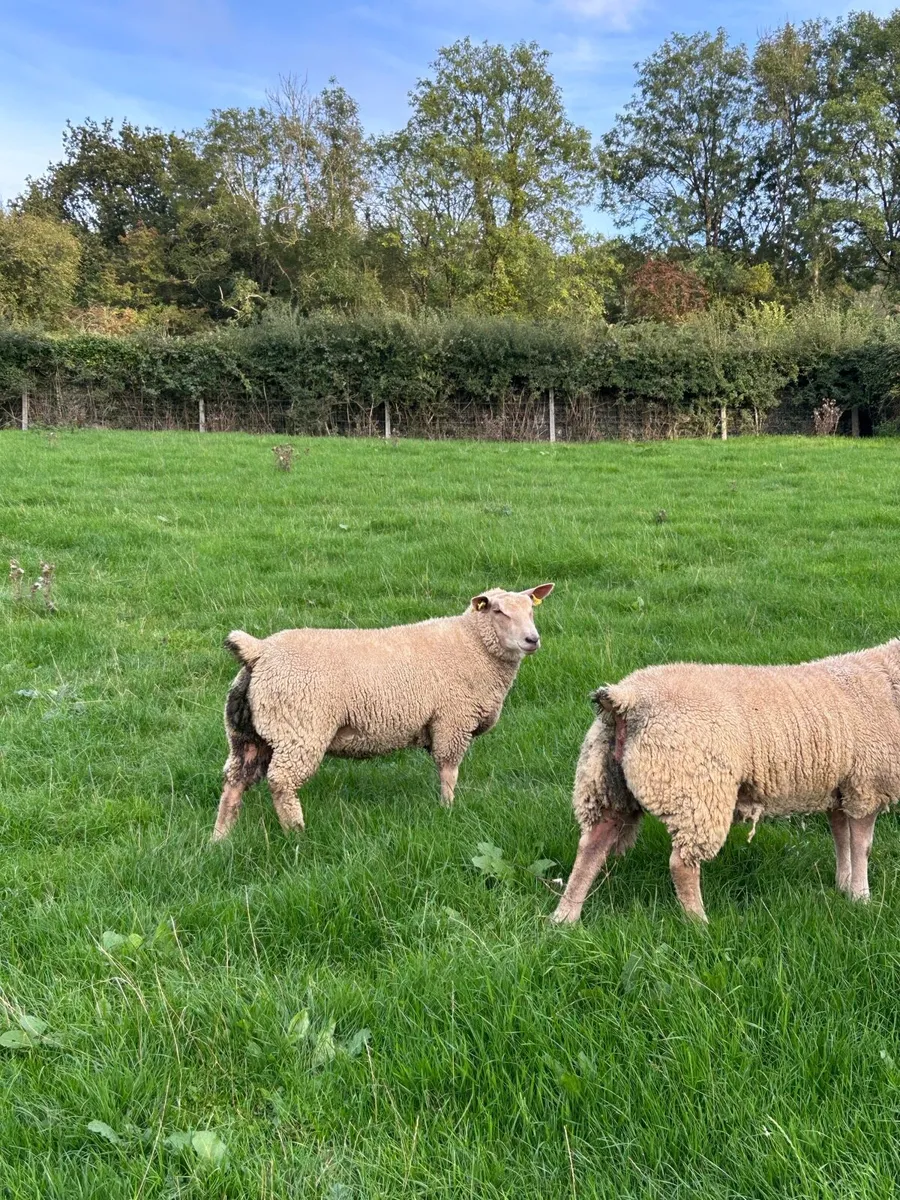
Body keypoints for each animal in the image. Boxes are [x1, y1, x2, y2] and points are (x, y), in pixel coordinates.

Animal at [212, 584, 555, 841]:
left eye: (531, 609)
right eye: (498, 611)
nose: (532, 639)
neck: (473, 644)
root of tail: (259, 650)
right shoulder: (452, 721)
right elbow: (448, 771)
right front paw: (448, 810)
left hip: (247, 734)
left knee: (234, 781)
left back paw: (221, 838)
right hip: (300, 730)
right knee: (282, 782)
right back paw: (297, 835)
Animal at [551, 638, 900, 923]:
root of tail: (627, 699)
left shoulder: (841, 787)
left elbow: (842, 839)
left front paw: (843, 885)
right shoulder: (868, 785)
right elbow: (862, 846)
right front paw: (862, 898)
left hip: (606, 785)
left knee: (591, 847)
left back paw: (564, 918)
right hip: (695, 792)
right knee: (681, 864)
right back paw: (699, 923)